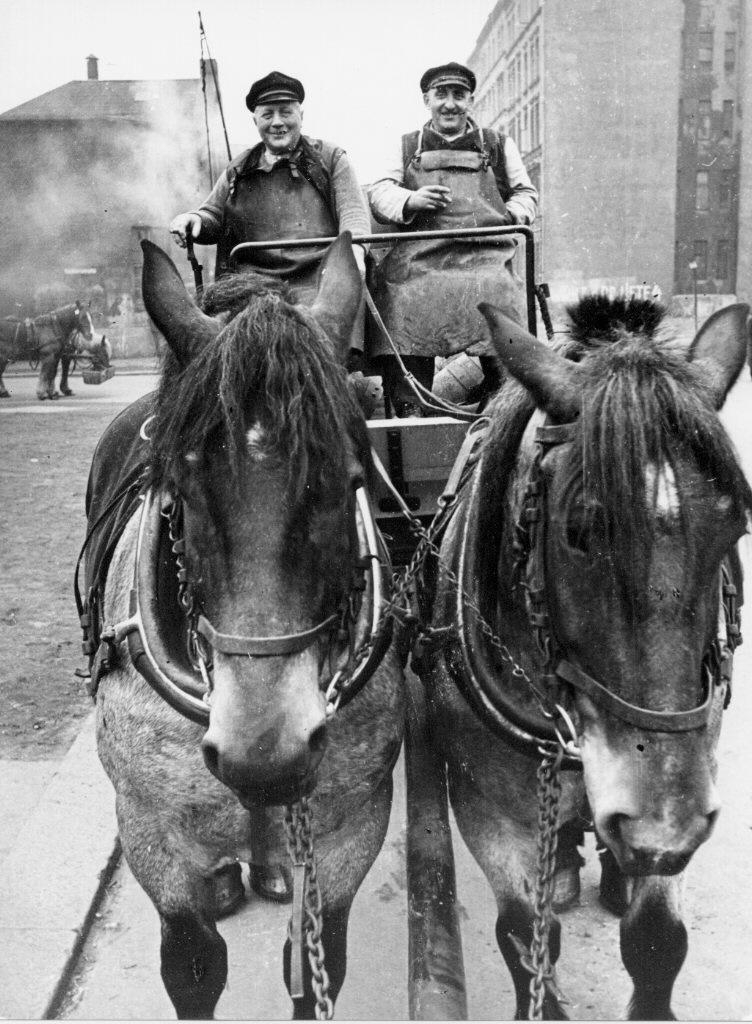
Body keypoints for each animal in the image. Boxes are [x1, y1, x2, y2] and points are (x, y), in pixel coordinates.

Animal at [85, 237, 405, 1015]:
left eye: (351, 479)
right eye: (178, 489)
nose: (266, 755)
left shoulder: (349, 831)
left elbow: (315, 964)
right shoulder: (154, 837)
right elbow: (193, 964)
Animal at [422, 294, 752, 1015]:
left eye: (736, 525)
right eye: (578, 532)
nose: (664, 824)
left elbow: (658, 941)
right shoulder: (490, 812)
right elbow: (525, 935)